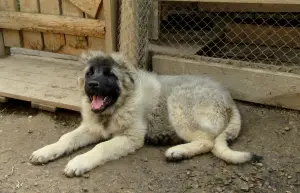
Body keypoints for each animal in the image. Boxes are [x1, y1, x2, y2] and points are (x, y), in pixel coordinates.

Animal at [29, 51, 262, 176]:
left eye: (110, 75)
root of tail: (229, 99)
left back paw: (177, 151)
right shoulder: (91, 128)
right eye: (90, 73)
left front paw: (78, 162)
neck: (118, 105)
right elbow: (66, 138)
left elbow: (100, 147)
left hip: (178, 102)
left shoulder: (130, 137)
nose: (92, 85)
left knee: (208, 142)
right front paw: (46, 151)